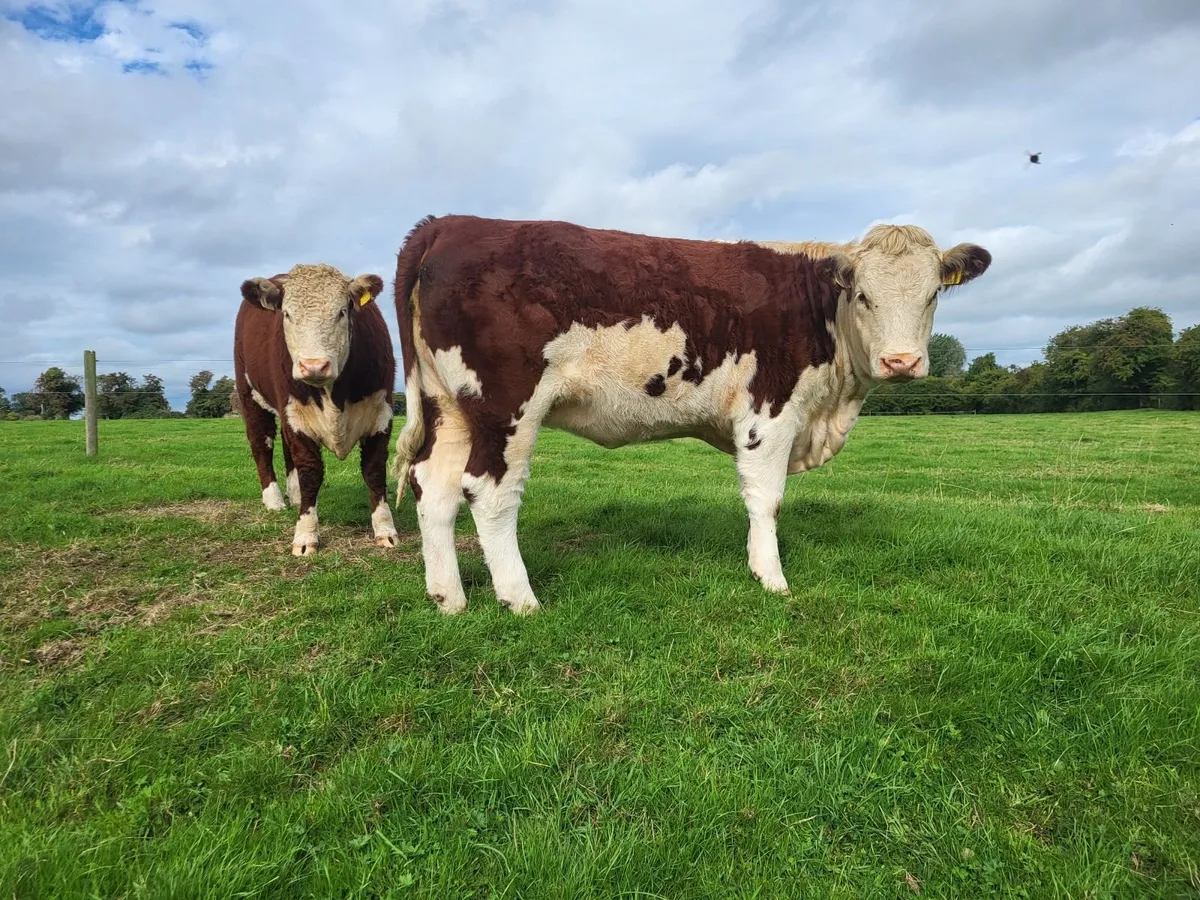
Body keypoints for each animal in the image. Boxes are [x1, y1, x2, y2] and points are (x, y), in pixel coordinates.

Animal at [234, 263, 400, 556]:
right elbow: (310, 472)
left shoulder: (381, 413)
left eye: (342, 311)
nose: (313, 366)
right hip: (250, 397)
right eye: (287, 314)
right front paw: (305, 535)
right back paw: (274, 500)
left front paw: (385, 530)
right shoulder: (296, 417)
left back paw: (294, 494)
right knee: (262, 445)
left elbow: (374, 470)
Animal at [388, 215, 991, 615]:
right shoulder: (770, 410)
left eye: (933, 294)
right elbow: (767, 498)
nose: (901, 361)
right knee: (489, 492)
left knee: (432, 485)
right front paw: (770, 577)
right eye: (863, 295)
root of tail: (448, 224)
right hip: (506, 405)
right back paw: (521, 599)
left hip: (450, 406)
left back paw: (449, 598)